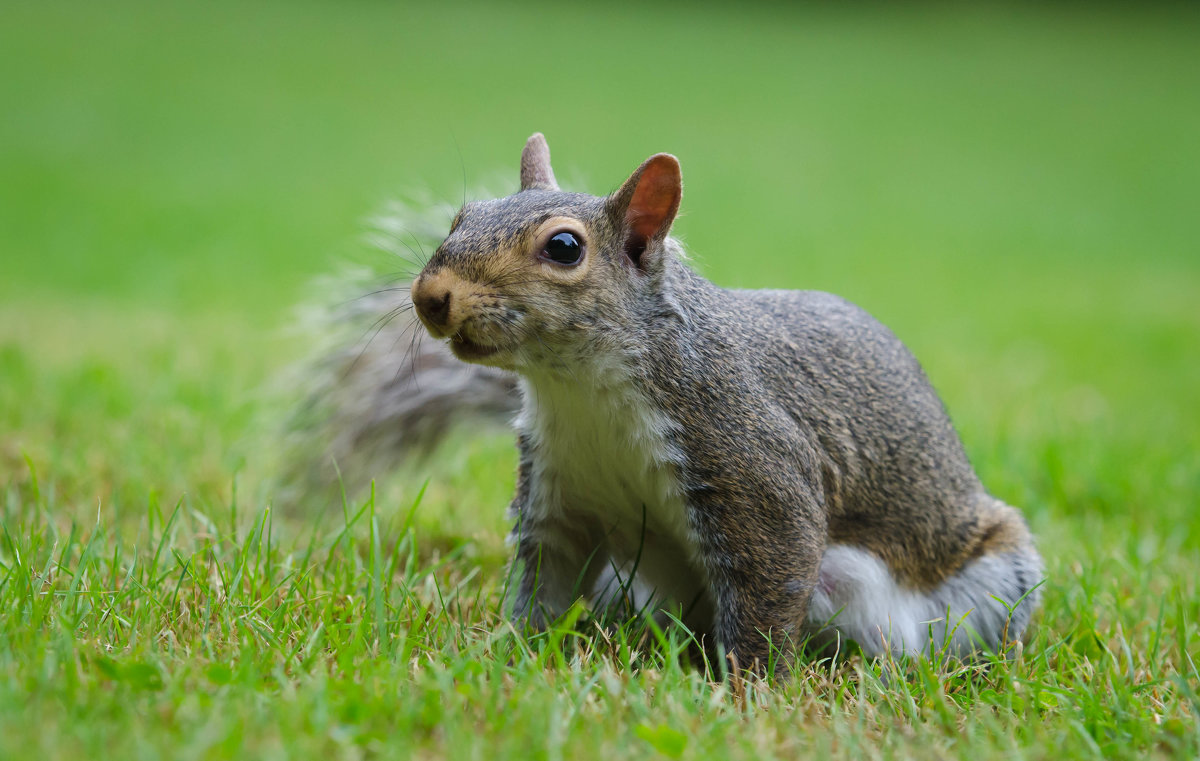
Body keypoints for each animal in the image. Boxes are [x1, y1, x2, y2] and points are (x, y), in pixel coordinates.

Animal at [312, 135, 1051, 667]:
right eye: (461, 217)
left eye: (564, 246)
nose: (429, 296)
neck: (582, 392)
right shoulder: (559, 491)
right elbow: (545, 581)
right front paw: (512, 652)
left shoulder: (753, 464)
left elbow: (771, 583)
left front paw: (750, 692)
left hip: (989, 579)